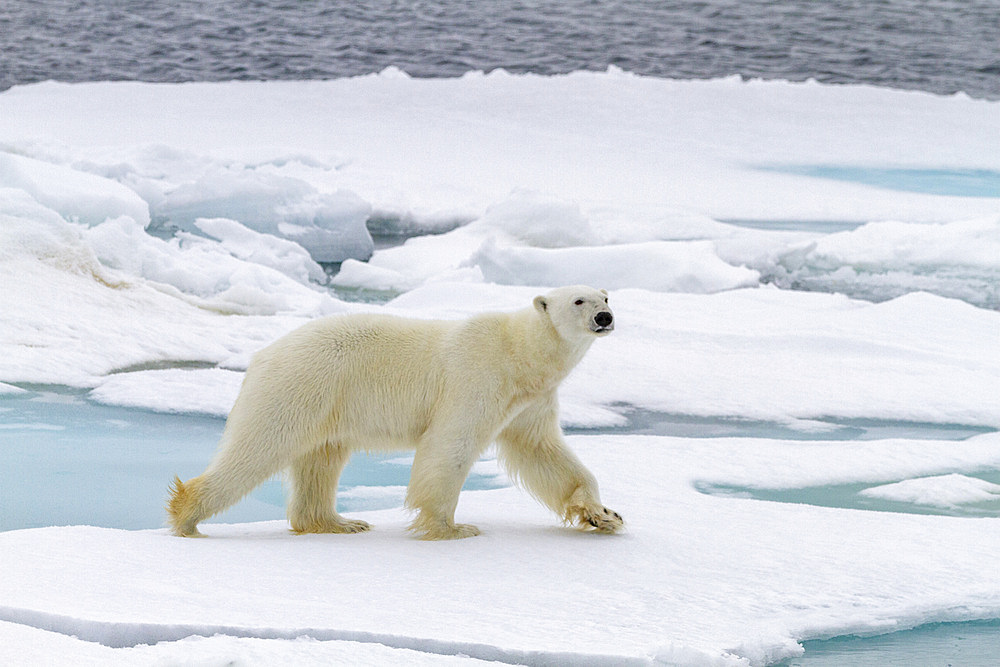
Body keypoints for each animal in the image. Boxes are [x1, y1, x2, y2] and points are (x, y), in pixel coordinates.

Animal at [170, 284, 624, 540]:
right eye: (578, 300)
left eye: (606, 297)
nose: (605, 317)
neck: (520, 354)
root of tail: (262, 355)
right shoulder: (476, 378)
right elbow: (450, 445)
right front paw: (452, 528)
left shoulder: (530, 400)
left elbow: (544, 452)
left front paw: (603, 515)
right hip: (300, 387)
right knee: (258, 447)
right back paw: (186, 515)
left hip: (326, 403)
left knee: (321, 460)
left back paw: (337, 522)